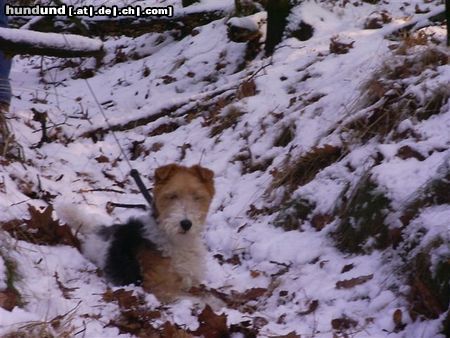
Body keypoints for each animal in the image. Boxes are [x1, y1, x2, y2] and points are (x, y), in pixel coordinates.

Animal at [55, 164, 214, 302]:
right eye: (172, 196)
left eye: (197, 197)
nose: (186, 224)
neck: (177, 240)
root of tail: (100, 230)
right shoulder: (160, 287)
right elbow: (201, 301)